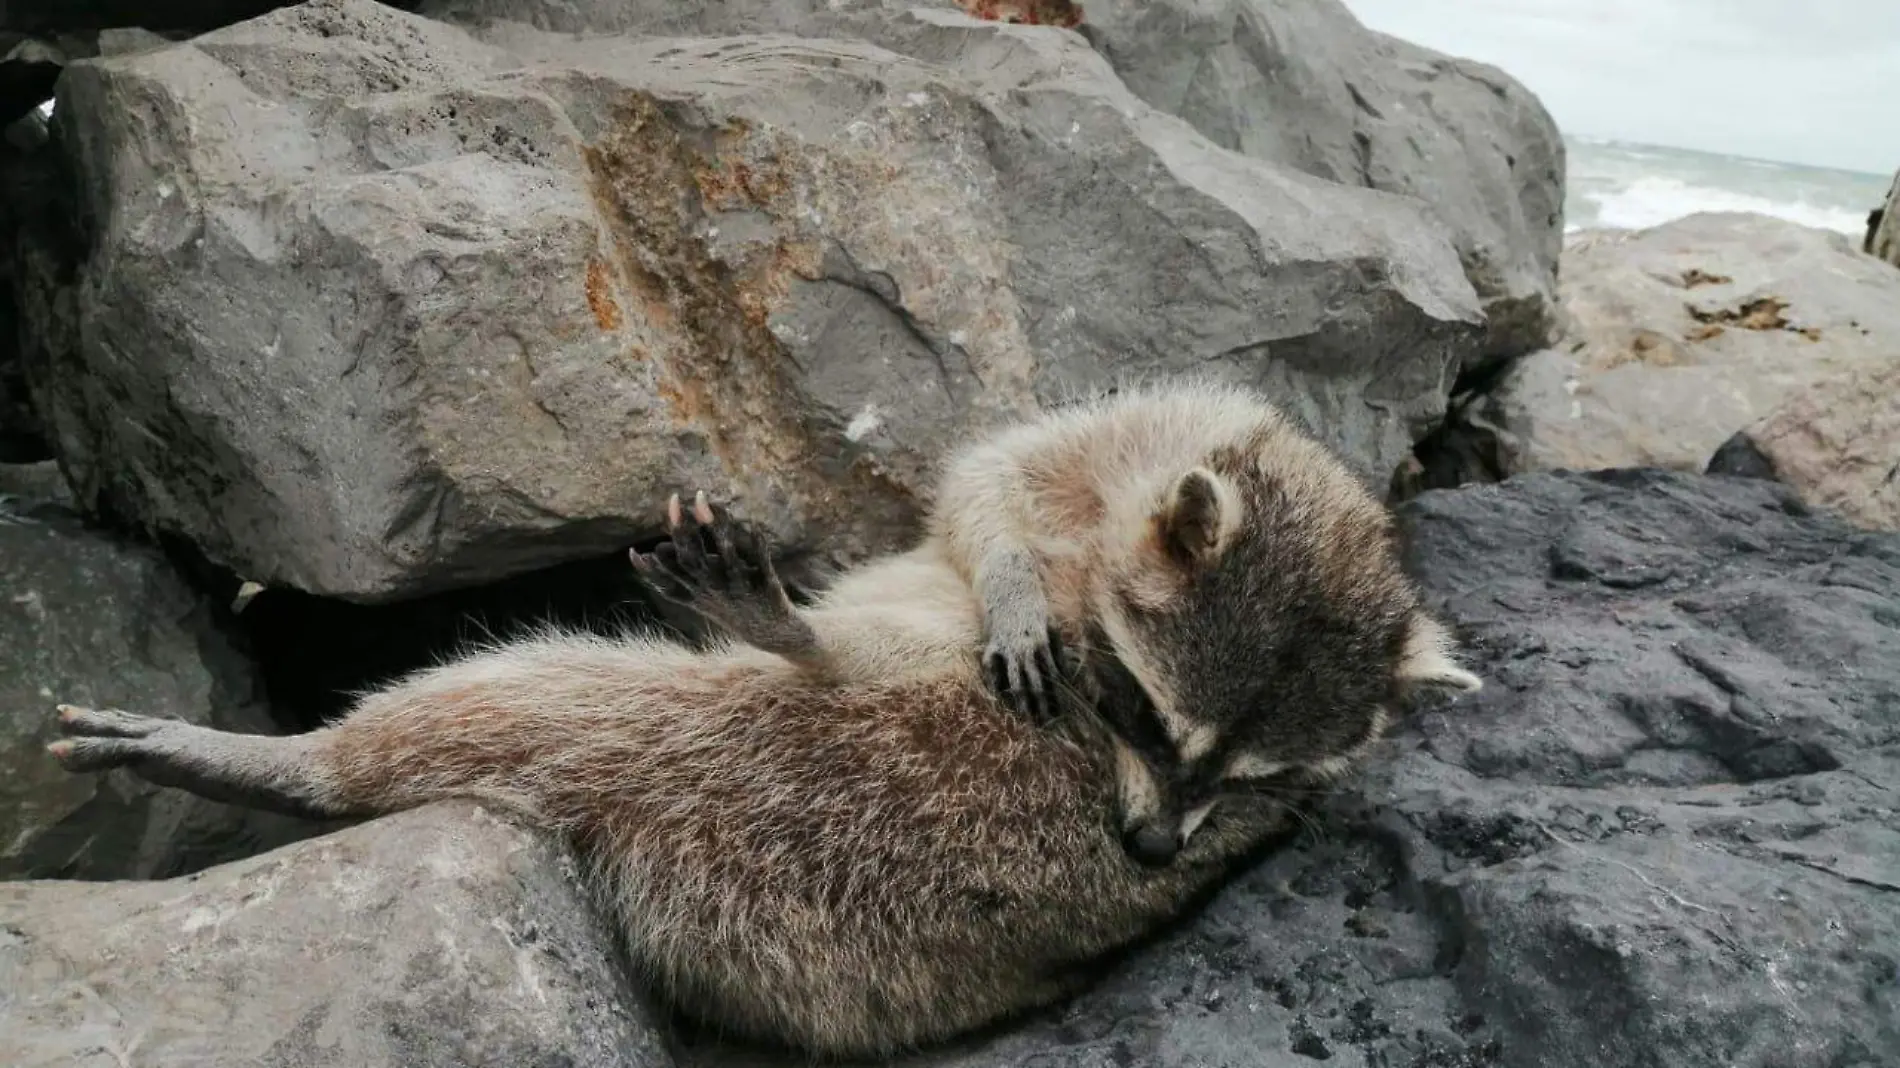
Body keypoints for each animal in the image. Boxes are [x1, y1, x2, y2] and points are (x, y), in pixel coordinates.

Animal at [40, 378, 1466, 1048]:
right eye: (1147, 717)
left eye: (1254, 778)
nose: (1160, 848)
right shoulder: (1129, 434)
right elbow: (983, 483)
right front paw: (1012, 577)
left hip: (848, 760)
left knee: (552, 699)